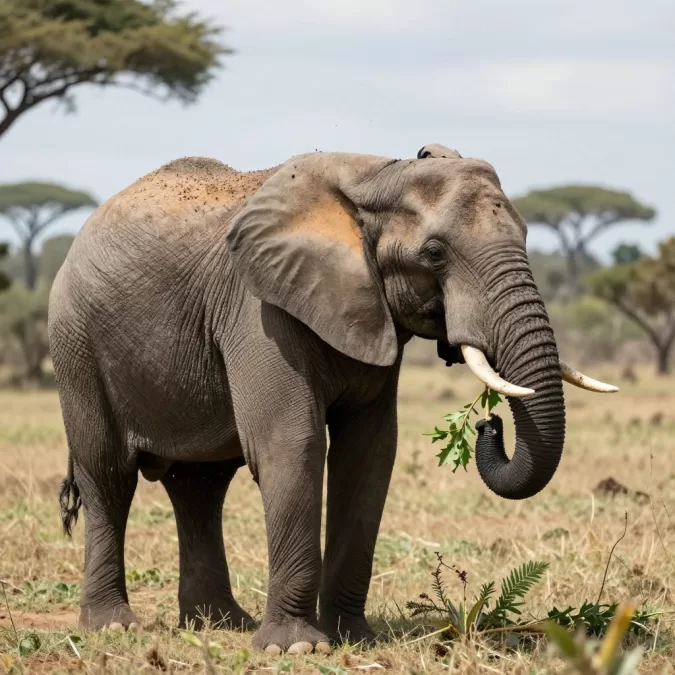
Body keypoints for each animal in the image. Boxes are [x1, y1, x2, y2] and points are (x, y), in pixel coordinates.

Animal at [49, 143, 617, 654]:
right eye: (435, 253)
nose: (486, 425)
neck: (380, 176)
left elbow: (369, 454)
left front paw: (353, 638)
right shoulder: (259, 309)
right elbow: (292, 444)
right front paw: (297, 648)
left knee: (199, 487)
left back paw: (222, 624)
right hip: (76, 344)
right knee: (109, 475)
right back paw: (112, 627)